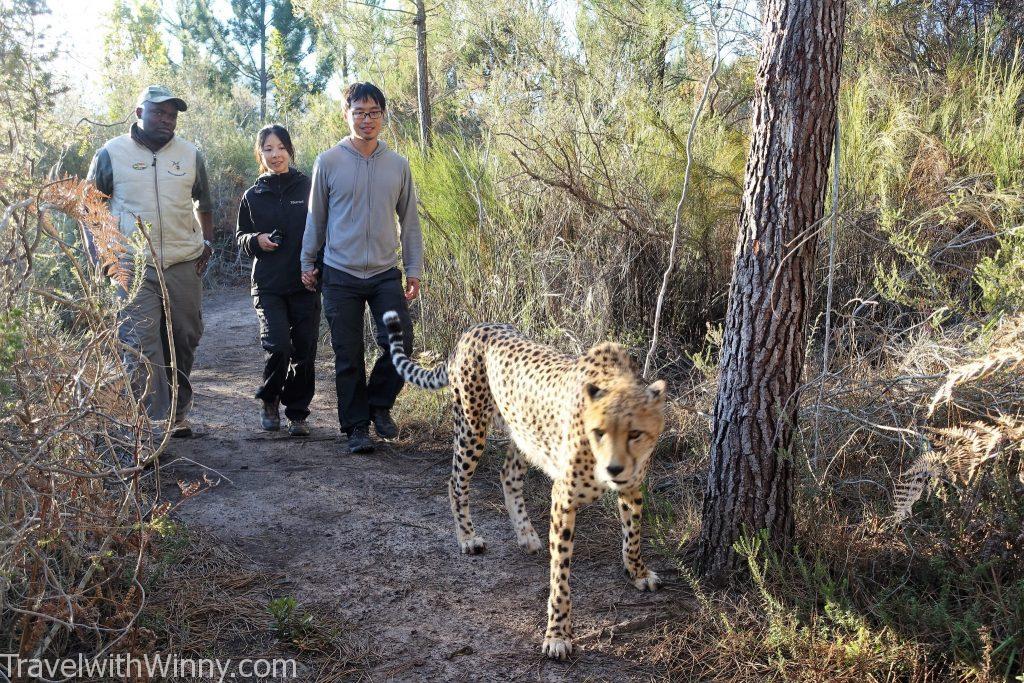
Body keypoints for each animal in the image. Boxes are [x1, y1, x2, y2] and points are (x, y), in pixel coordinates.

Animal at [382, 313, 663, 659]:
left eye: (634, 433)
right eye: (598, 431)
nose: (613, 468)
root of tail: (475, 328)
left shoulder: (632, 488)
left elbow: (633, 534)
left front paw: (638, 572)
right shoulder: (564, 498)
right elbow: (560, 576)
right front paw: (557, 634)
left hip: (522, 432)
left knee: (508, 475)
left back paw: (526, 534)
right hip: (471, 427)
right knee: (455, 482)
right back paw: (468, 538)